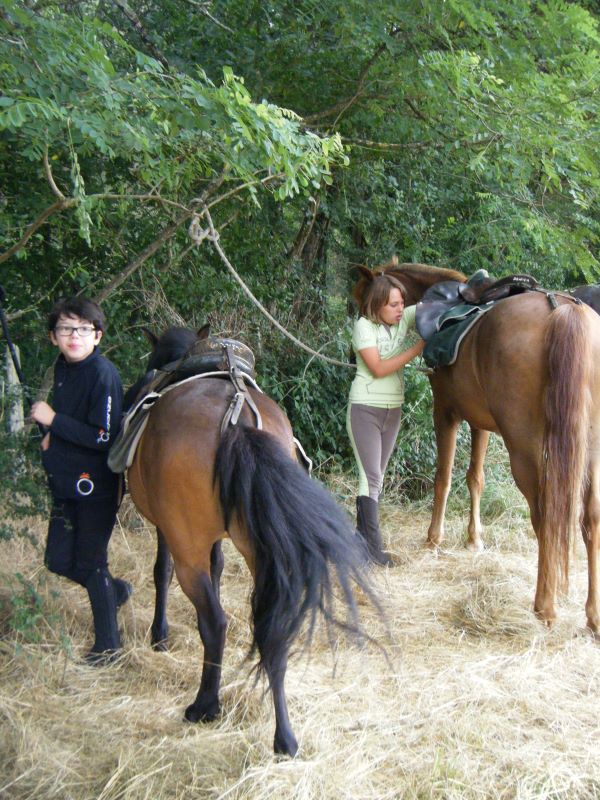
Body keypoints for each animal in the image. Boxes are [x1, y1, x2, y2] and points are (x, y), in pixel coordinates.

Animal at [124, 325, 377, 756]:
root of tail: (236, 420)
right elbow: (219, 568)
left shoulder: (169, 530)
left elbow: (162, 571)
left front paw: (159, 634)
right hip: (264, 552)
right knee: (271, 630)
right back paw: (285, 738)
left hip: (190, 546)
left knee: (214, 622)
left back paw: (205, 705)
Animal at [383, 261, 600, 634]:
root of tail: (563, 310)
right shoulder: (481, 423)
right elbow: (476, 479)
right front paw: (474, 539)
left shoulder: (445, 411)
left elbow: (443, 478)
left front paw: (434, 538)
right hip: (590, 450)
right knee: (591, 519)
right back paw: (593, 615)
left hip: (525, 451)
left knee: (545, 517)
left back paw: (545, 606)